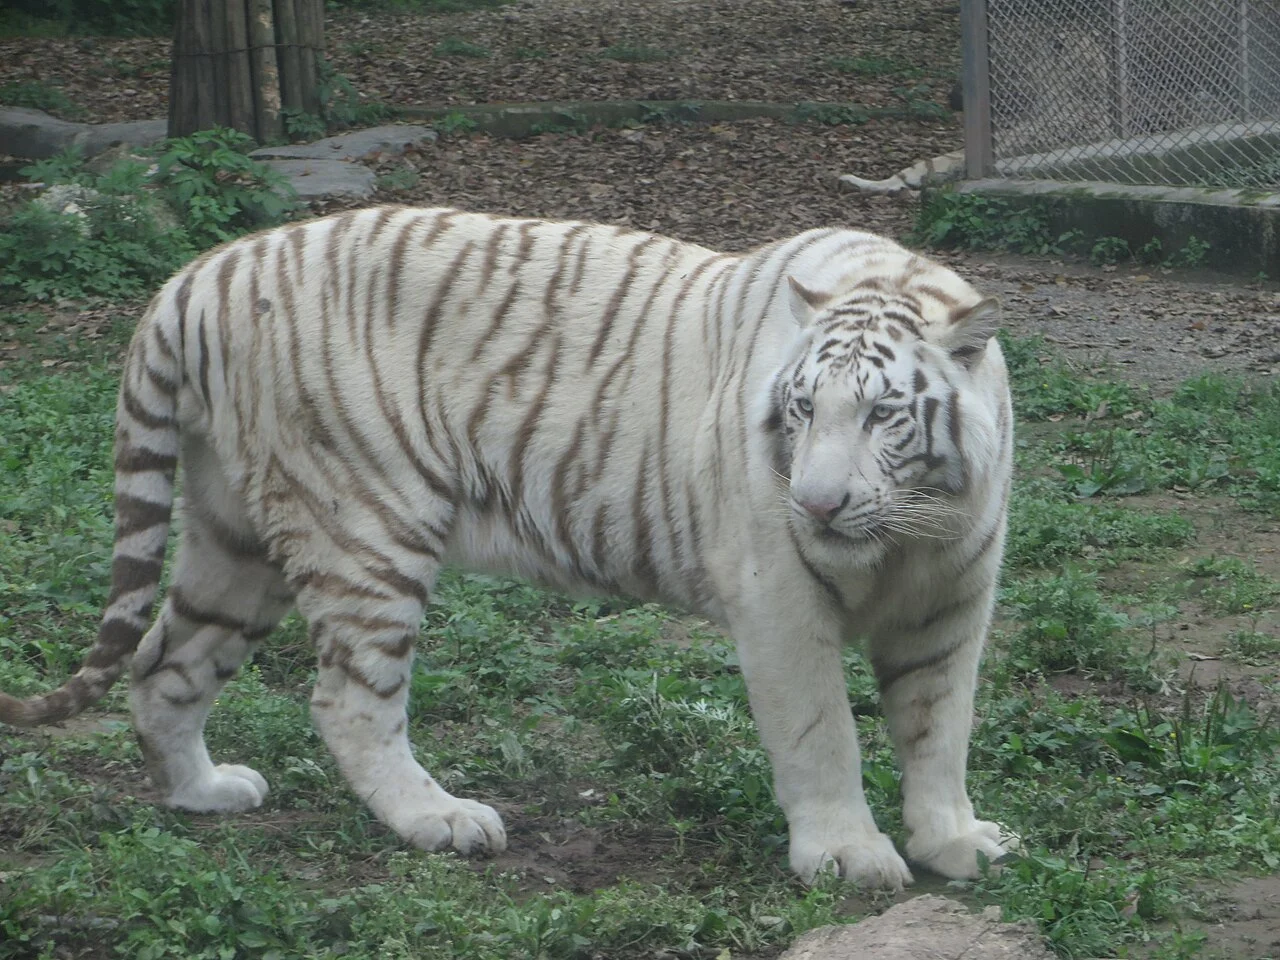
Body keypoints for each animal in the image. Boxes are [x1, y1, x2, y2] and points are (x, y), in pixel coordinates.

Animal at [0, 206, 1016, 890]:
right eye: (802, 410)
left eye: (881, 415)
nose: (814, 502)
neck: (910, 530)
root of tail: (193, 277)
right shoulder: (780, 600)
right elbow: (822, 734)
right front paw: (848, 857)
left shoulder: (952, 602)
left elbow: (941, 727)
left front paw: (953, 841)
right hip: (366, 525)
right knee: (345, 700)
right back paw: (441, 821)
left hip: (235, 537)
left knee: (165, 663)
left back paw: (202, 792)